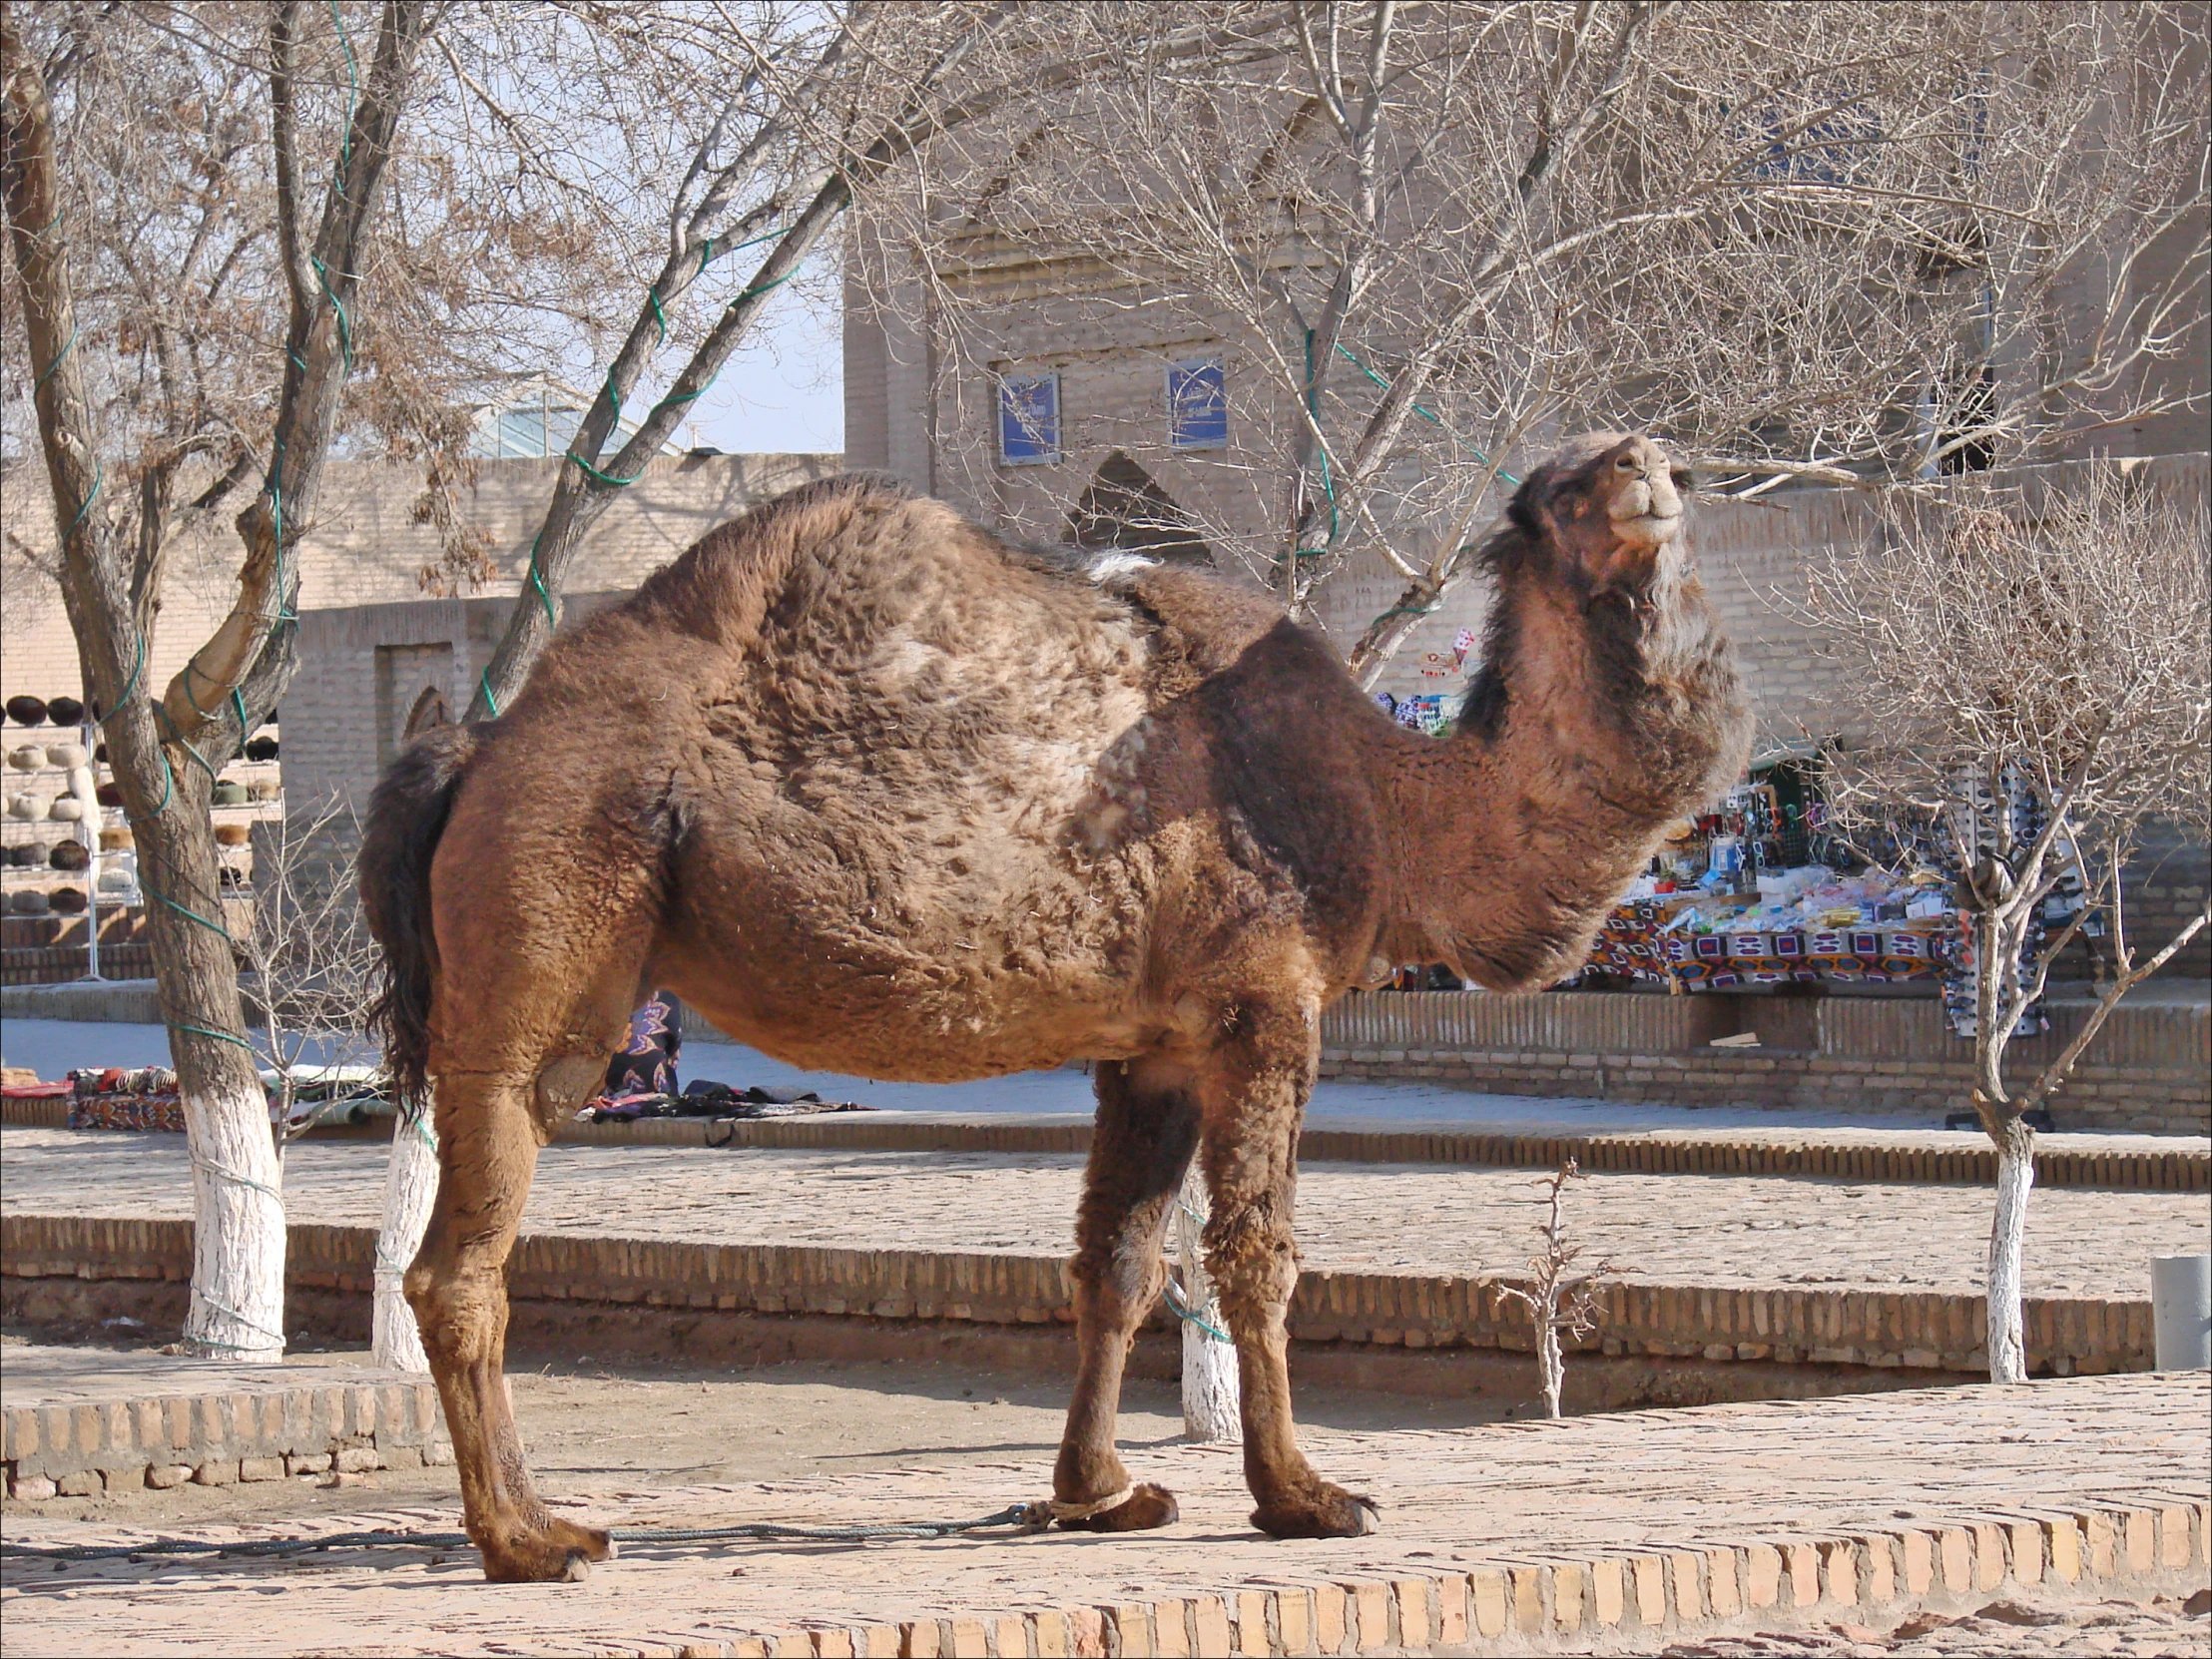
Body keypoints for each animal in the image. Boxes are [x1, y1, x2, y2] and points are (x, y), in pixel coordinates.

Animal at [357, 428, 1743, 1583]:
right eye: (1563, 488)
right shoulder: (1262, 1007)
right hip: (549, 911)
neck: (1396, 800)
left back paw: (525, 1526)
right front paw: (1302, 1497)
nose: (1639, 479)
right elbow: (1255, 1257)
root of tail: (472, 753)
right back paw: (531, 1538)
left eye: (1661, 459)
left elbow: (1115, 1263)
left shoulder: (1158, 1046)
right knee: (462, 1254)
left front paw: (1098, 1492)